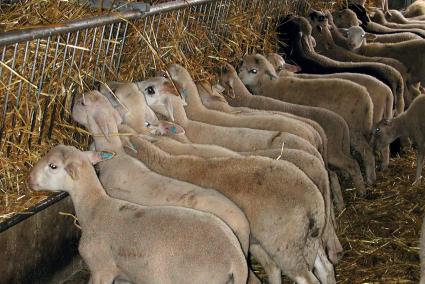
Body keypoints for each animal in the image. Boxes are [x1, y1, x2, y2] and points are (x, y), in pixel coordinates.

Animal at [125, 131, 334, 284]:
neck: (165, 162)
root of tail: (313, 200)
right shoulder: (254, 242)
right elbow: (271, 268)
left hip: (284, 245)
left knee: (307, 278)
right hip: (305, 239)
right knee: (326, 267)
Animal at [217, 62, 366, 195]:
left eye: (252, 70)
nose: (225, 65)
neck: (244, 98)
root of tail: (342, 123)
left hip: (333, 152)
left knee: (350, 165)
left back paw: (361, 190)